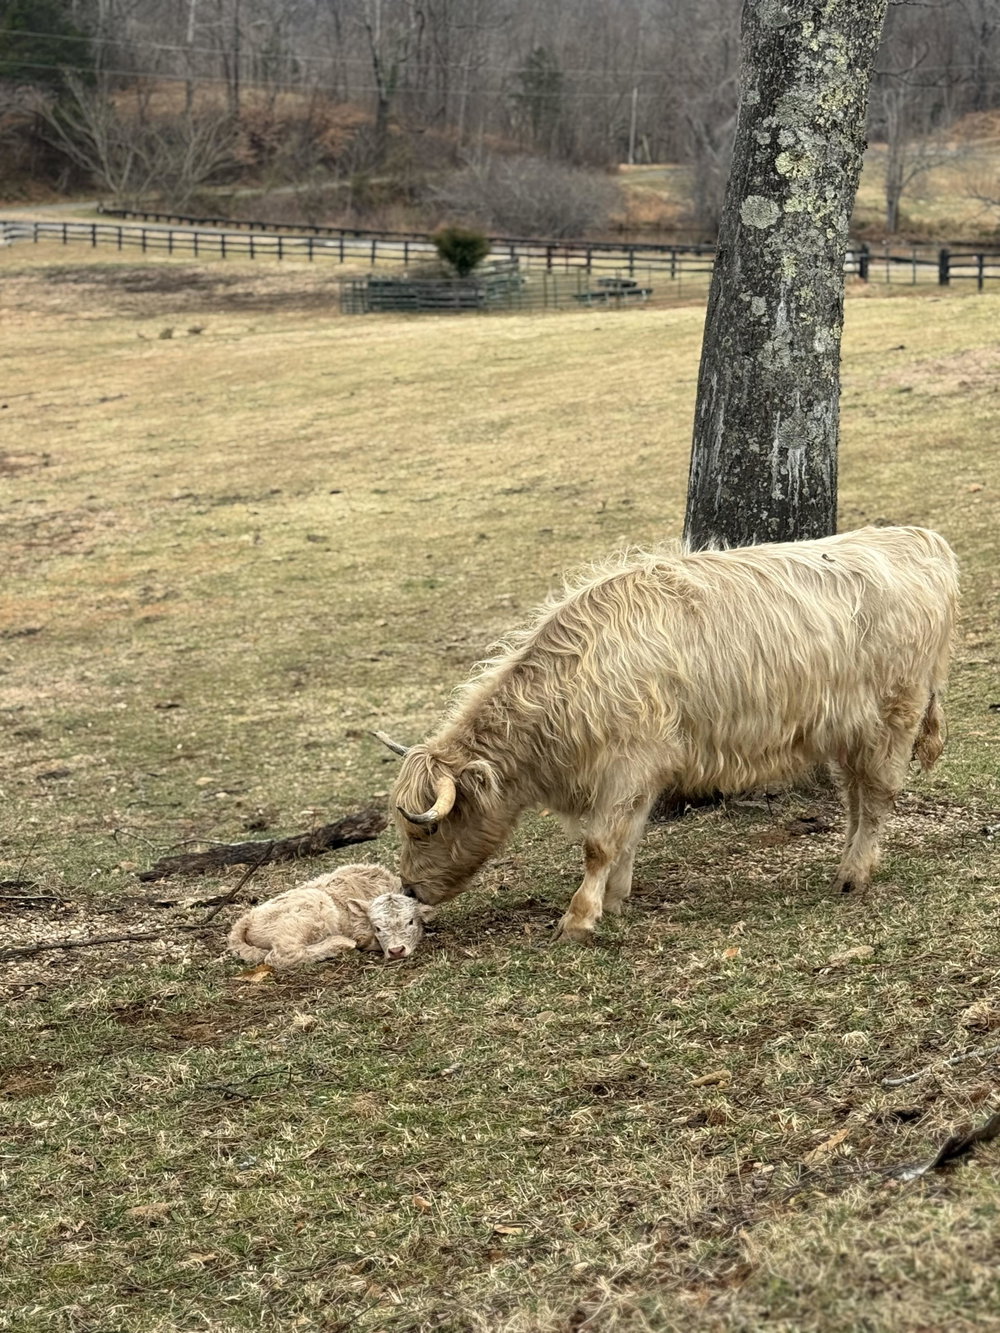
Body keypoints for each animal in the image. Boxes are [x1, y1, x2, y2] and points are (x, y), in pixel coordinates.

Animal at [375, 526, 958, 943]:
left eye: (426, 829)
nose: (408, 886)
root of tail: (919, 540)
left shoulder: (626, 765)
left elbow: (599, 843)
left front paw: (578, 918)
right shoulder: (643, 771)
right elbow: (628, 836)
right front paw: (615, 900)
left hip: (896, 715)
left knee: (879, 795)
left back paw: (854, 875)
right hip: (850, 732)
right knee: (857, 796)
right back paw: (850, 866)